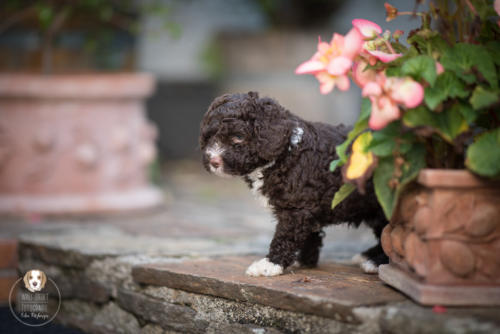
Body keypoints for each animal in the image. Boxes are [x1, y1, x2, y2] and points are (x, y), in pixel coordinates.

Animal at [199, 91, 386, 276]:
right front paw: (304, 261)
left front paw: (270, 264)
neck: (285, 154)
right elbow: (309, 234)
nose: (213, 161)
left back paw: (375, 262)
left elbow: (285, 236)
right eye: (208, 137)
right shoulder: (307, 207)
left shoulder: (296, 209)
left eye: (238, 137)